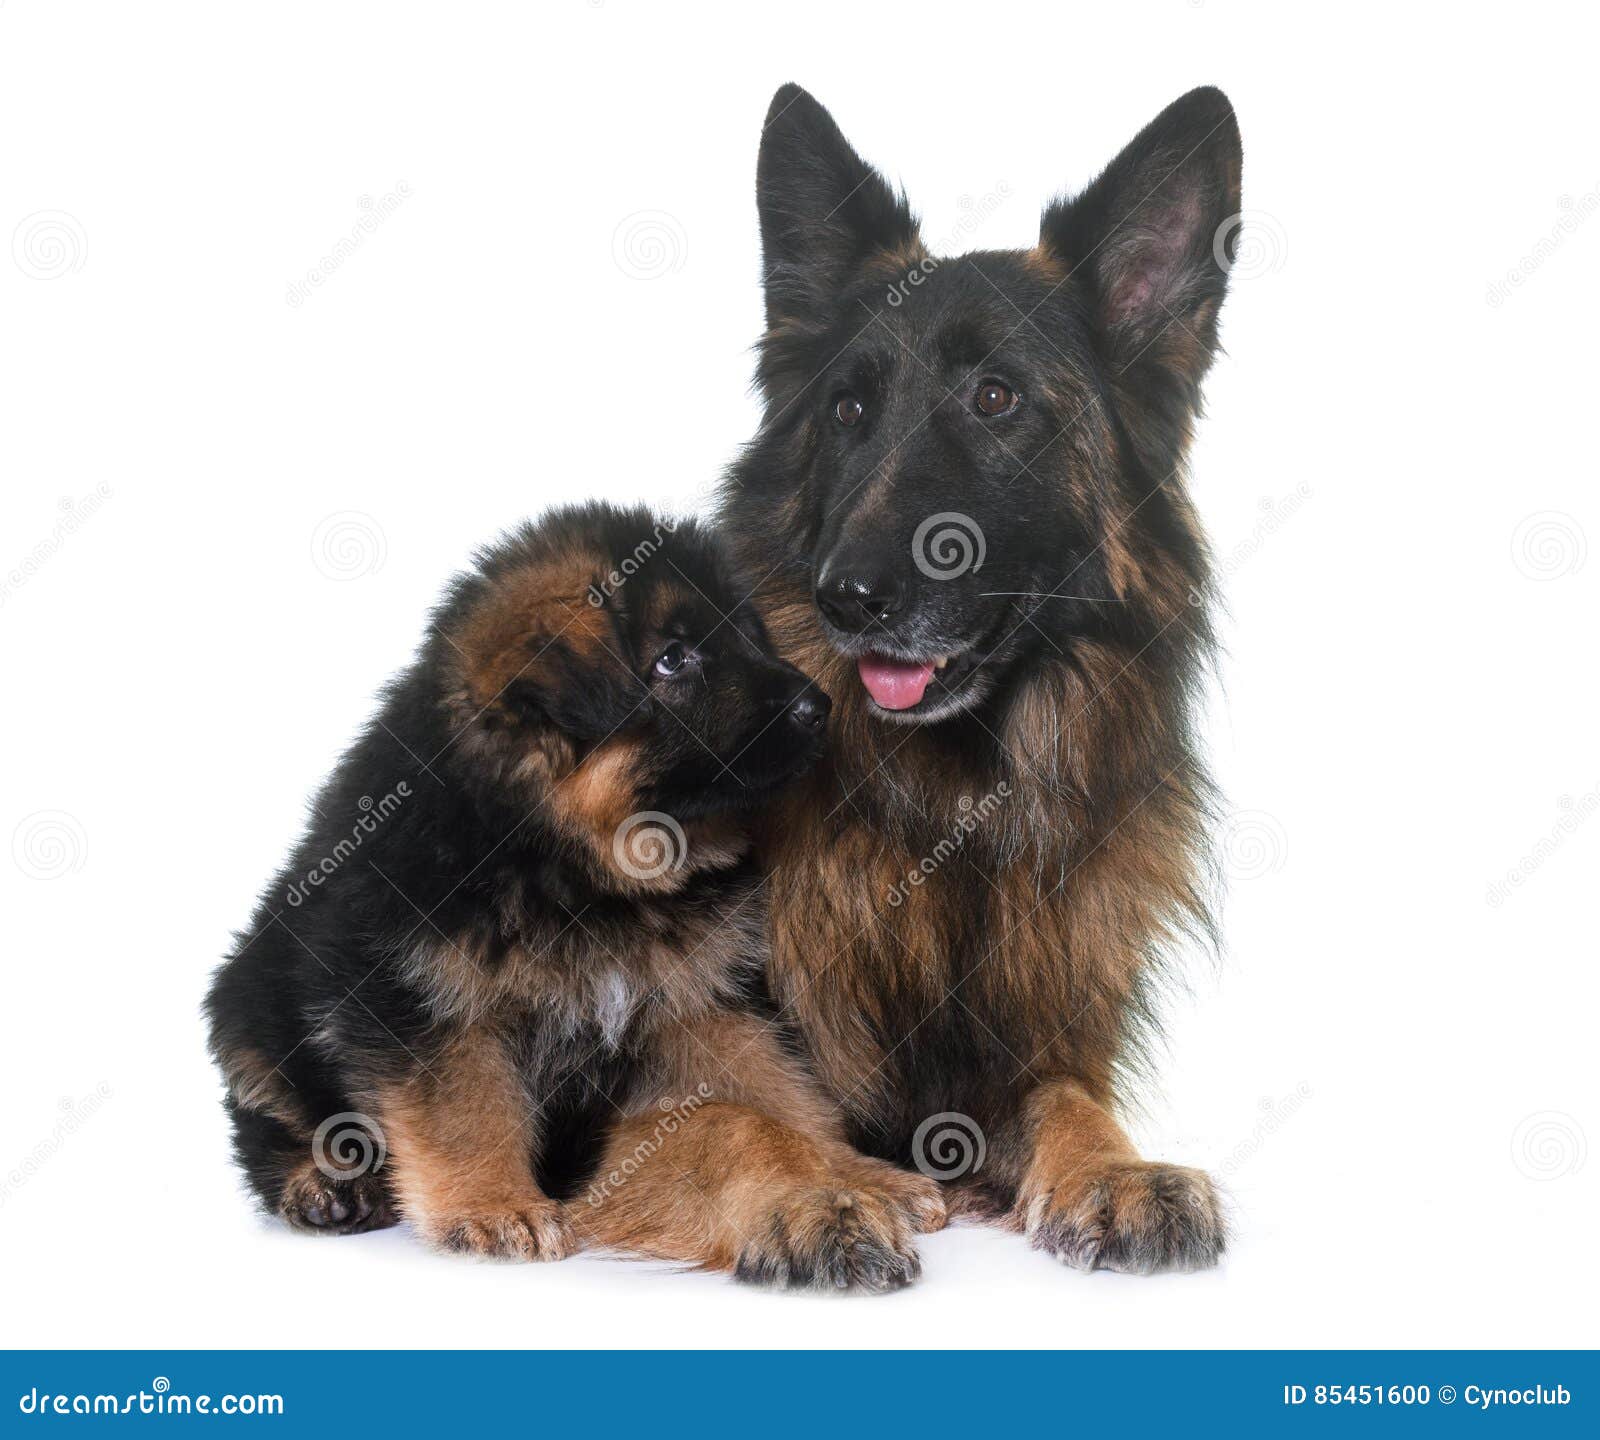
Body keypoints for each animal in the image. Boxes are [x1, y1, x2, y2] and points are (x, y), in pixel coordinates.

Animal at [206, 499, 940, 1286]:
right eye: (673, 660)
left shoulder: (701, 1003)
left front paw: (857, 1174)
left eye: (747, 636)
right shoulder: (423, 1002)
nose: (818, 705)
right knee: (270, 1124)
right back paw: (321, 1184)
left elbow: (779, 1091)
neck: (573, 867)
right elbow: (465, 1109)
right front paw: (495, 1208)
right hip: (252, 1006)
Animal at [713, 84, 1248, 1267]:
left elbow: (1068, 1100)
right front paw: (810, 1192)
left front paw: (1115, 1171)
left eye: (997, 398)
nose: (847, 597)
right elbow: (736, 1113)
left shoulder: (1032, 1048)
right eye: (848, 409)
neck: (944, 807)